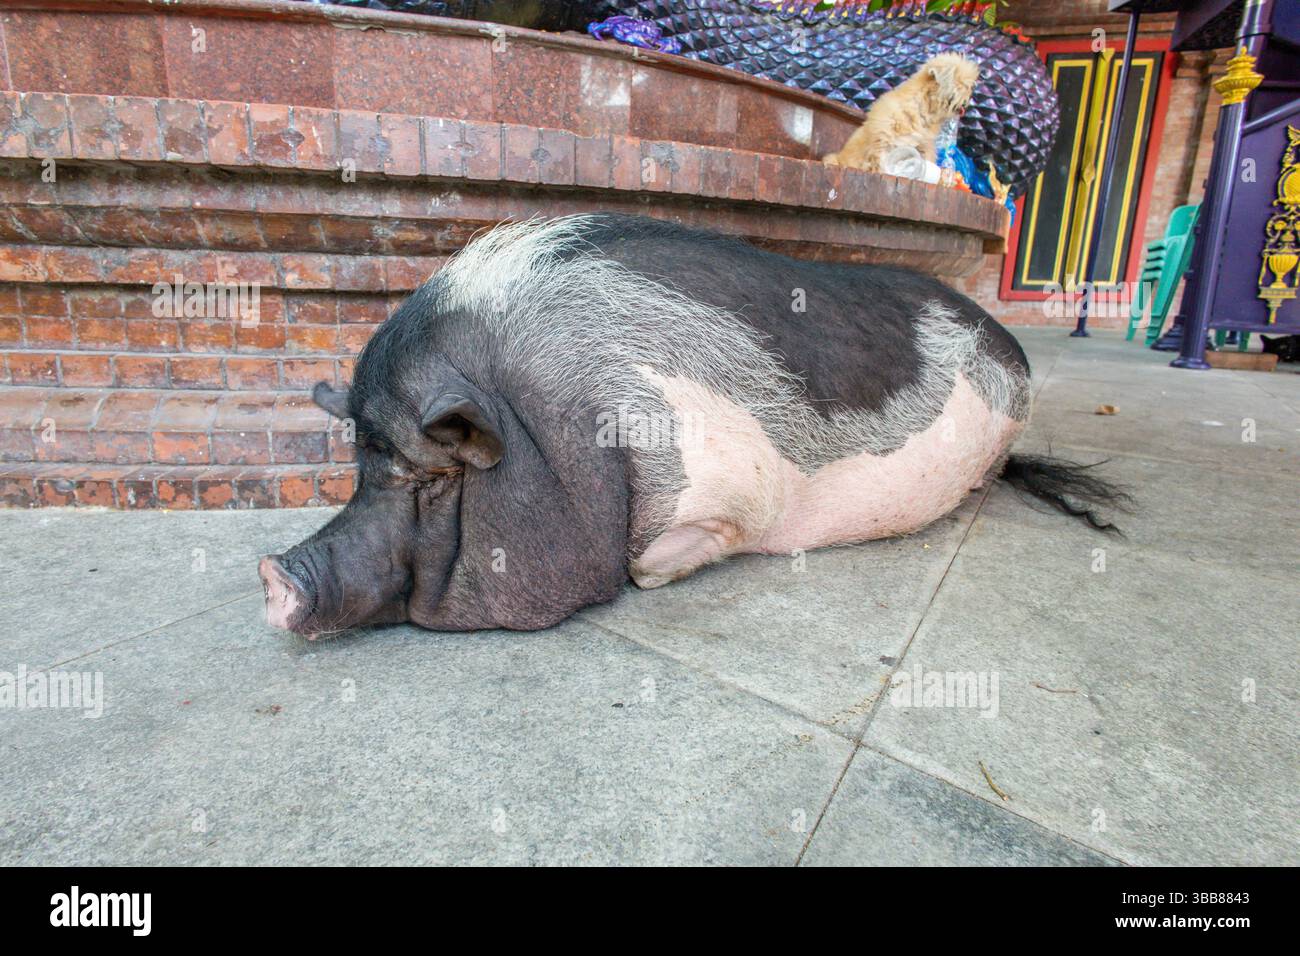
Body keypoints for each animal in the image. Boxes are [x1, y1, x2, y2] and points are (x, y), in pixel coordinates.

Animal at [260, 214, 1124, 636]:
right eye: (361, 468)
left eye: (431, 477)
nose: (272, 573)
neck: (562, 416)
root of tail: (1009, 341)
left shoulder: (727, 498)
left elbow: (647, 568)